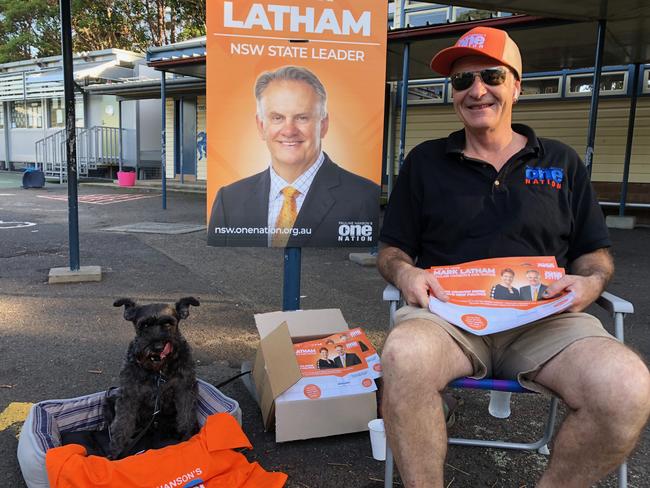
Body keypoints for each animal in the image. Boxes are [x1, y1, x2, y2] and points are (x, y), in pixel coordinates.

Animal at [106, 296, 200, 460]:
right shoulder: (129, 394)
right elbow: (122, 424)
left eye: (168, 324)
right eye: (143, 325)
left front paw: (187, 438)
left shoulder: (185, 389)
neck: (158, 372)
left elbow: (186, 416)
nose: (157, 348)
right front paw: (116, 451)